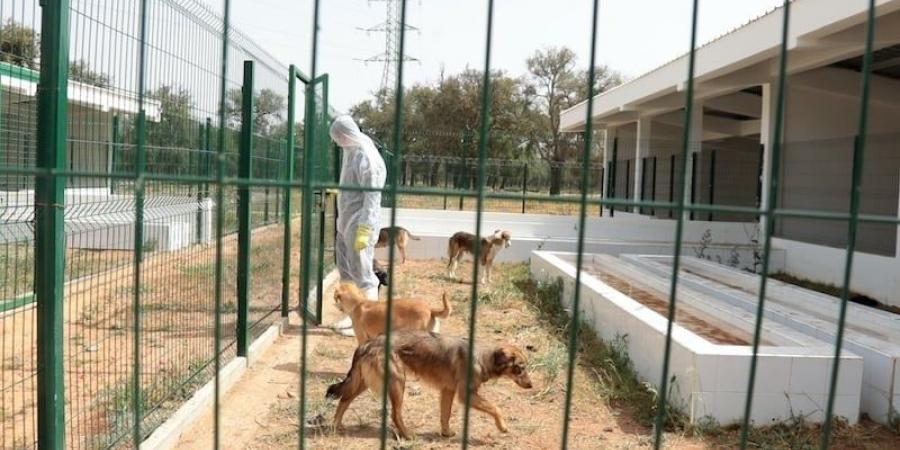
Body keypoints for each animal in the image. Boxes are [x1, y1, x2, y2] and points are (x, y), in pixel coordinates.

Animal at [326, 330, 532, 440]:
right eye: (520, 369)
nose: (531, 385)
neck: (483, 356)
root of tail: (368, 343)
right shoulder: (466, 395)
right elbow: (495, 407)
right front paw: (502, 427)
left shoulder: (448, 391)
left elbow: (445, 415)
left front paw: (446, 433)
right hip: (397, 383)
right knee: (395, 414)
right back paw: (407, 435)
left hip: (364, 382)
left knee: (344, 399)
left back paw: (336, 426)